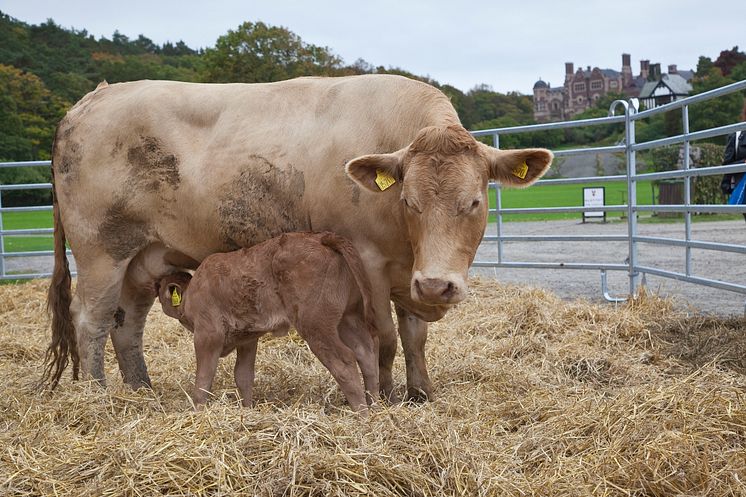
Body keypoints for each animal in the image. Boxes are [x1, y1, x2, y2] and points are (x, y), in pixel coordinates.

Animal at [156, 232, 378, 410]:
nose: (156, 287)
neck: (192, 291)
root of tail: (321, 238)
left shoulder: (208, 335)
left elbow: (203, 380)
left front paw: (198, 412)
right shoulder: (247, 339)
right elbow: (243, 376)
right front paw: (247, 409)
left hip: (316, 326)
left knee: (345, 361)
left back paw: (361, 413)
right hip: (347, 318)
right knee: (366, 354)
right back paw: (375, 407)